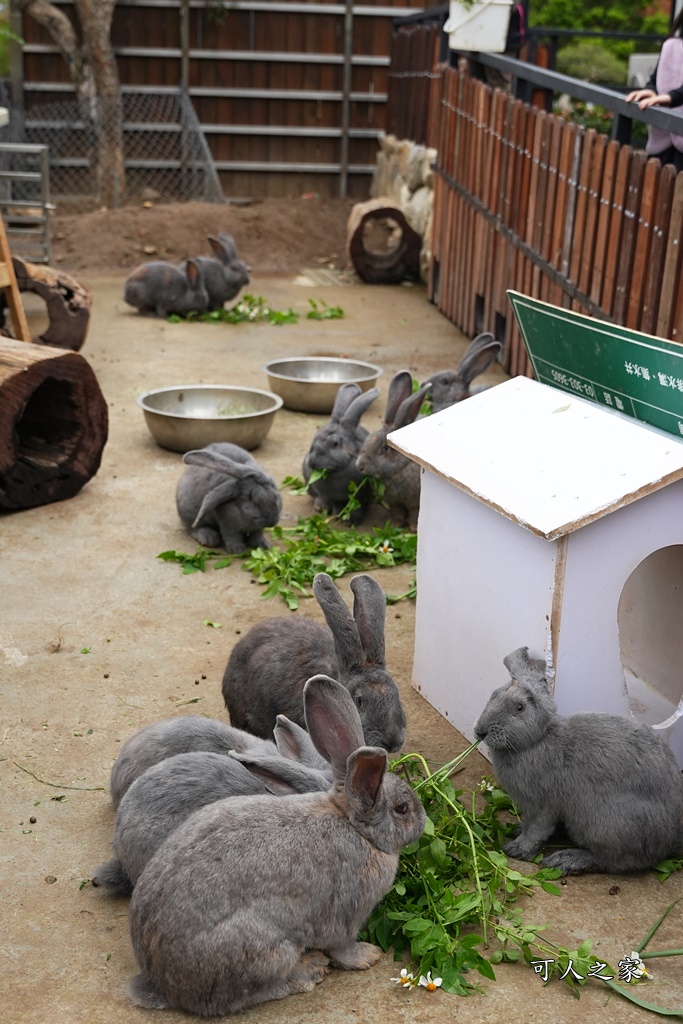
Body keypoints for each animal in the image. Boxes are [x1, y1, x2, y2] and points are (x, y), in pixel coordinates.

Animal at [127, 671, 423, 1015]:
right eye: (402, 808)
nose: (423, 820)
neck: (355, 828)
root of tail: (163, 985)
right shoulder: (345, 914)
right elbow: (342, 947)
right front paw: (368, 955)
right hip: (267, 951)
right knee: (246, 995)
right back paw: (308, 970)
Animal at [303, 385, 382, 528]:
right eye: (314, 441)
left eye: (335, 444)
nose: (312, 462)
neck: (337, 471)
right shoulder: (332, 497)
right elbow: (336, 505)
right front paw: (338, 515)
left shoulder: (360, 495)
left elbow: (358, 506)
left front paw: (352, 521)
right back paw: (321, 507)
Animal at [356, 368, 430, 528]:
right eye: (367, 439)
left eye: (385, 449)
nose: (359, 466)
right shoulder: (394, 502)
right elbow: (398, 512)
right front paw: (395, 525)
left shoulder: (415, 502)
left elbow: (414, 514)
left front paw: (413, 528)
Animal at [473, 651, 683, 876]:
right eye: (494, 695)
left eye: (519, 708)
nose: (480, 731)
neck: (537, 740)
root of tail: (669, 839)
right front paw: (518, 830)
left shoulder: (543, 805)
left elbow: (536, 830)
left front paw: (517, 849)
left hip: (604, 827)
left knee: (613, 862)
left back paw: (566, 859)